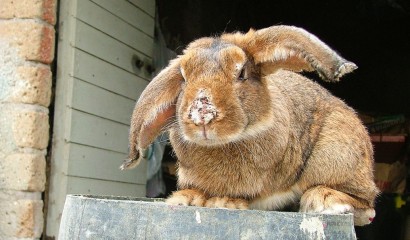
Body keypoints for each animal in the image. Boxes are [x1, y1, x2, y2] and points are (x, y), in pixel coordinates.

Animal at [120, 25, 380, 226]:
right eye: (183, 78)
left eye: (242, 72)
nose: (201, 114)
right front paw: (187, 198)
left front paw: (224, 202)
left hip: (336, 155)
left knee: (367, 206)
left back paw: (323, 199)